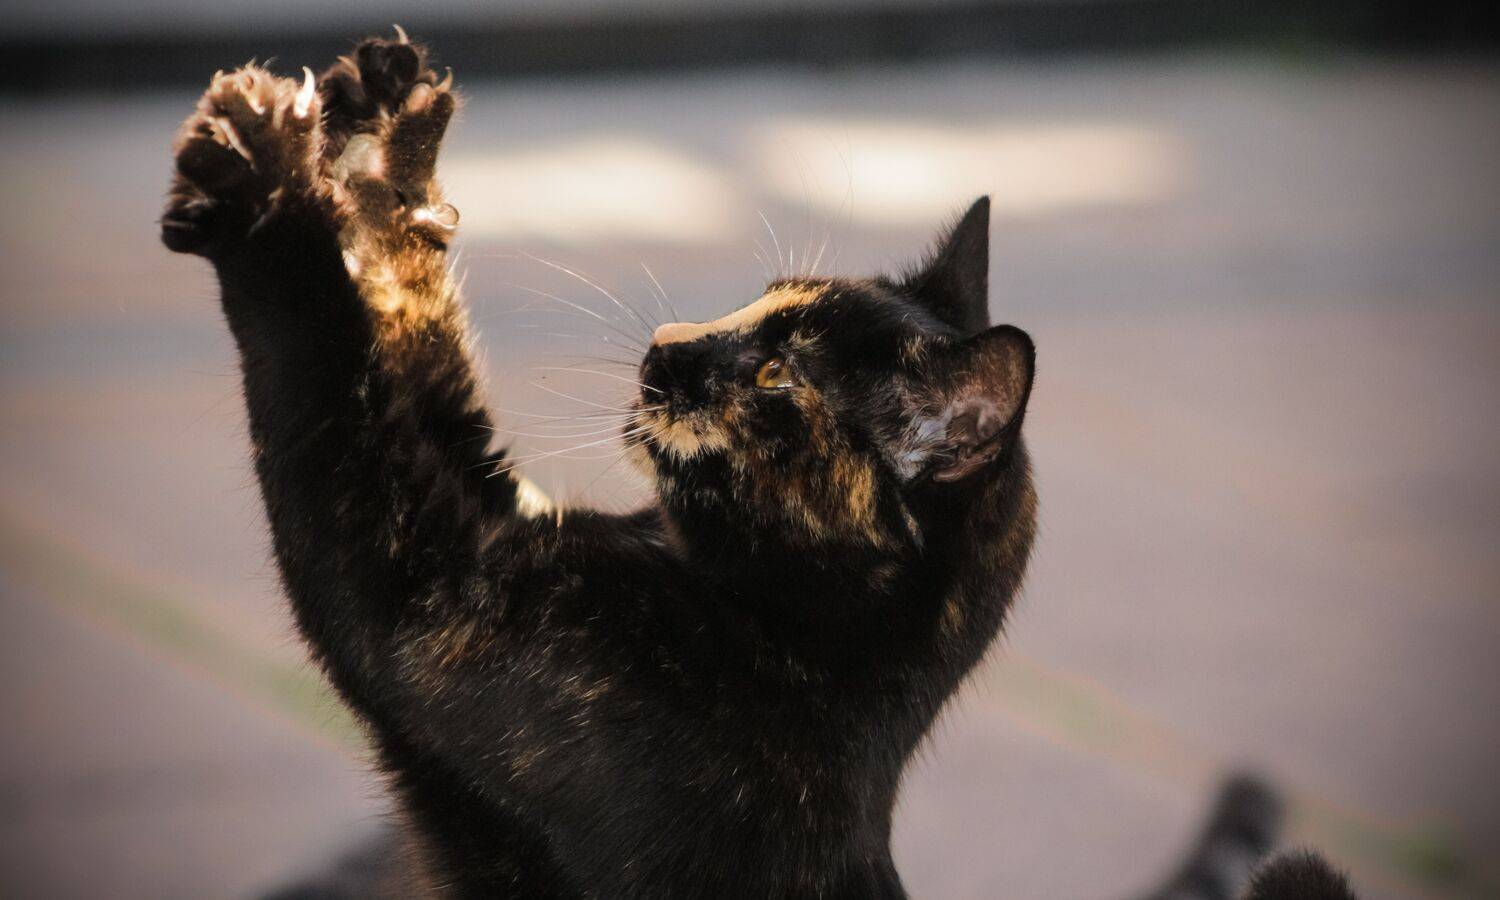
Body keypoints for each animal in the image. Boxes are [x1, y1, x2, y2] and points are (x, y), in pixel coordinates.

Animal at [161, 33, 1355, 900]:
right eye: (755, 303)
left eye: (778, 379)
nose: (665, 346)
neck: (793, 647)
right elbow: (408, 302)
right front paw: (393, 135)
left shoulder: (416, 597)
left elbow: (321, 355)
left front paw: (260, 187)